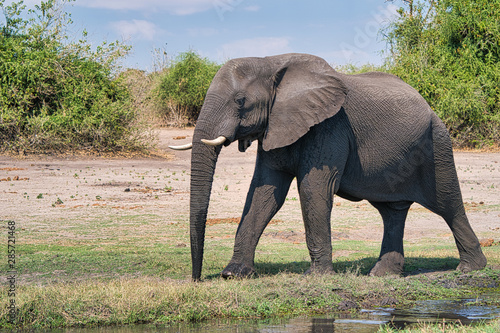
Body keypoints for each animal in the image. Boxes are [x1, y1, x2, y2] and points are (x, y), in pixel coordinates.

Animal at [170, 52, 486, 280]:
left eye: (240, 101)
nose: (197, 279)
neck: (271, 62)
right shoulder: (277, 125)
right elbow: (264, 193)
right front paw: (233, 274)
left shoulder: (330, 126)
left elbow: (313, 189)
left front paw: (316, 276)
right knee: (392, 212)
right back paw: (382, 276)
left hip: (437, 144)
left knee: (447, 204)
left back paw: (471, 269)